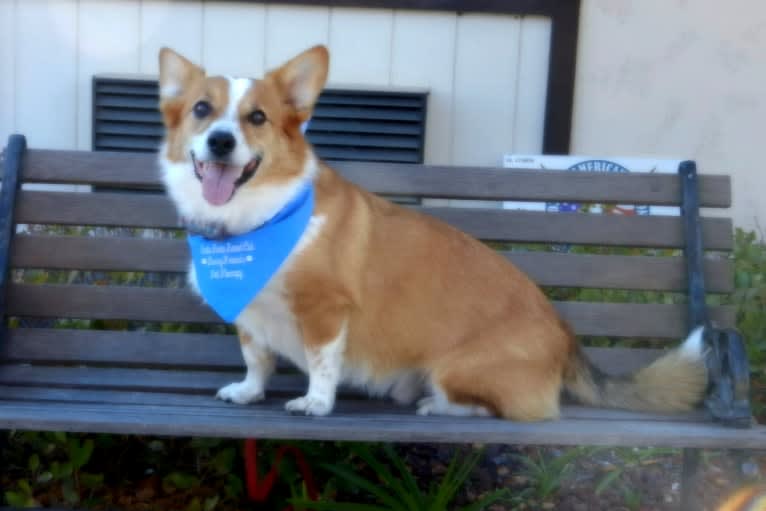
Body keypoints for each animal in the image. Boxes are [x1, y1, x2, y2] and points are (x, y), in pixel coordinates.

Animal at [158, 45, 712, 420]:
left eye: (257, 117)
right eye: (202, 110)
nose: (221, 141)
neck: (256, 216)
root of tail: (565, 336)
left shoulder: (325, 311)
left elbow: (322, 363)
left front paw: (315, 402)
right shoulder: (250, 315)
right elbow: (256, 359)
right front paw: (248, 391)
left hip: (455, 369)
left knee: (507, 409)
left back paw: (437, 406)